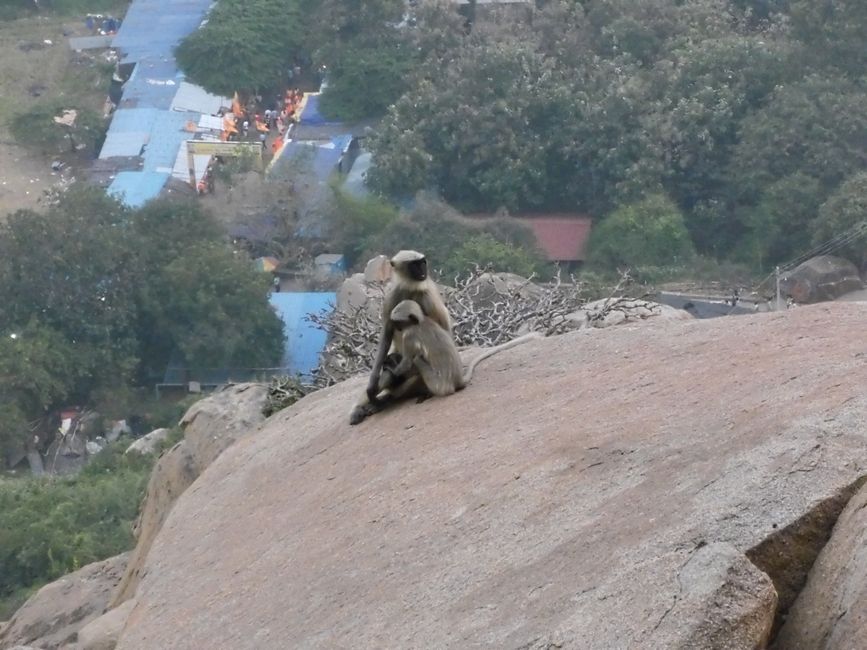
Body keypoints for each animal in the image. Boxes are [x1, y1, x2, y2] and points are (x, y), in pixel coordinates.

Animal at [349, 250, 452, 425]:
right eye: (414, 264)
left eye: (422, 262)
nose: (423, 270)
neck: (411, 287)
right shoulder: (393, 294)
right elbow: (387, 331)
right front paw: (372, 384)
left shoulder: (427, 296)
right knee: (388, 372)